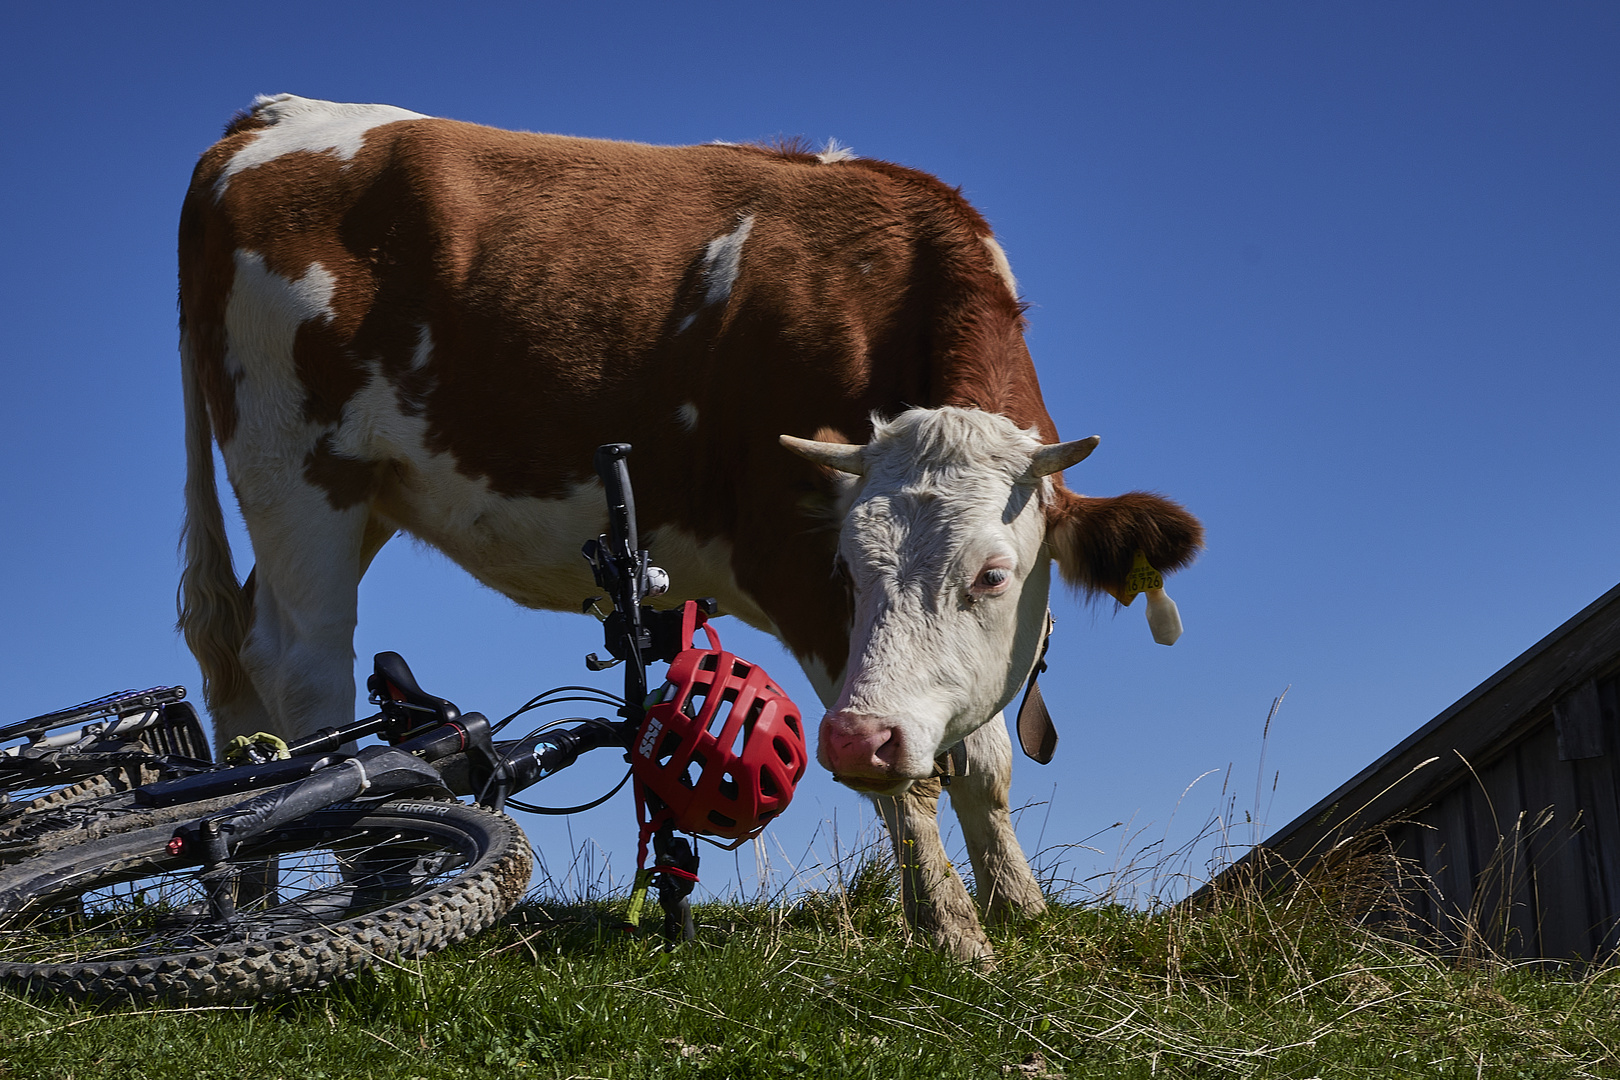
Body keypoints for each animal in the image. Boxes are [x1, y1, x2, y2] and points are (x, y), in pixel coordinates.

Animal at [177, 95, 1205, 965]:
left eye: (993, 575)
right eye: (848, 568)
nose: (855, 739)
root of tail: (272, 116)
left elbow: (983, 761)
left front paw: (1018, 910)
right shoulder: (793, 570)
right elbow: (911, 779)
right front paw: (956, 937)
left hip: (363, 498)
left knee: (242, 664)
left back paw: (253, 891)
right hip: (298, 472)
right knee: (304, 669)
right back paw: (361, 876)